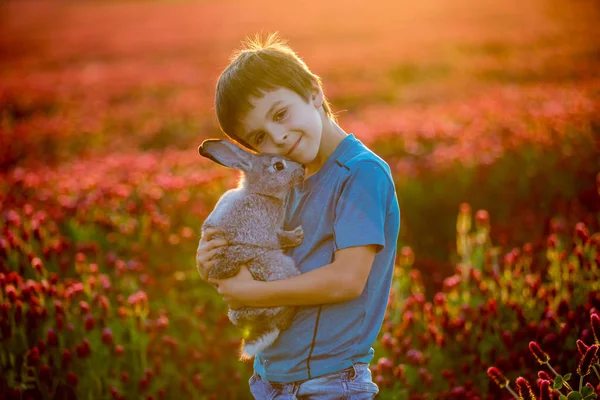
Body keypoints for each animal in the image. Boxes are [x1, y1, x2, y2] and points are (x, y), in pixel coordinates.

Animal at [198, 139, 304, 360]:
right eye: (278, 166)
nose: (302, 169)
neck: (258, 192)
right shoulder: (267, 231)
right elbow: (278, 239)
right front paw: (297, 235)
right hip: (280, 273)